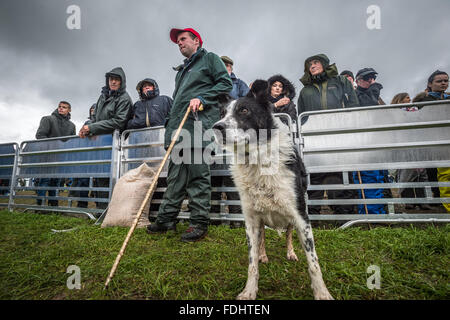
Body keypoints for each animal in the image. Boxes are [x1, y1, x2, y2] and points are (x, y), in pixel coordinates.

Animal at [213, 80, 332, 300]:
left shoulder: (301, 217)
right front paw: (249, 291)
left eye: (244, 110)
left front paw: (322, 293)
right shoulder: (251, 221)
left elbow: (313, 262)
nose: (217, 127)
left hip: (291, 219)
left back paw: (291, 253)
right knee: (262, 241)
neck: (257, 159)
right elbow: (252, 264)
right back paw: (263, 255)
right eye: (222, 113)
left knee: (288, 236)